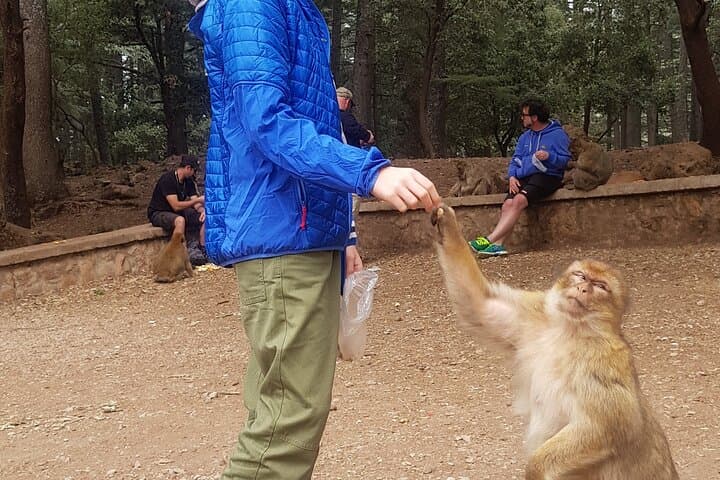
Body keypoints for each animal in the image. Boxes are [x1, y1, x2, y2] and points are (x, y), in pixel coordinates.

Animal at [430, 204, 679, 480]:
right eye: (580, 276)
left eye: (600, 286)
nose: (582, 289)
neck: (570, 330)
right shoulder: (534, 319)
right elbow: (481, 305)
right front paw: (448, 227)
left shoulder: (603, 361)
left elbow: (611, 425)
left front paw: (535, 469)